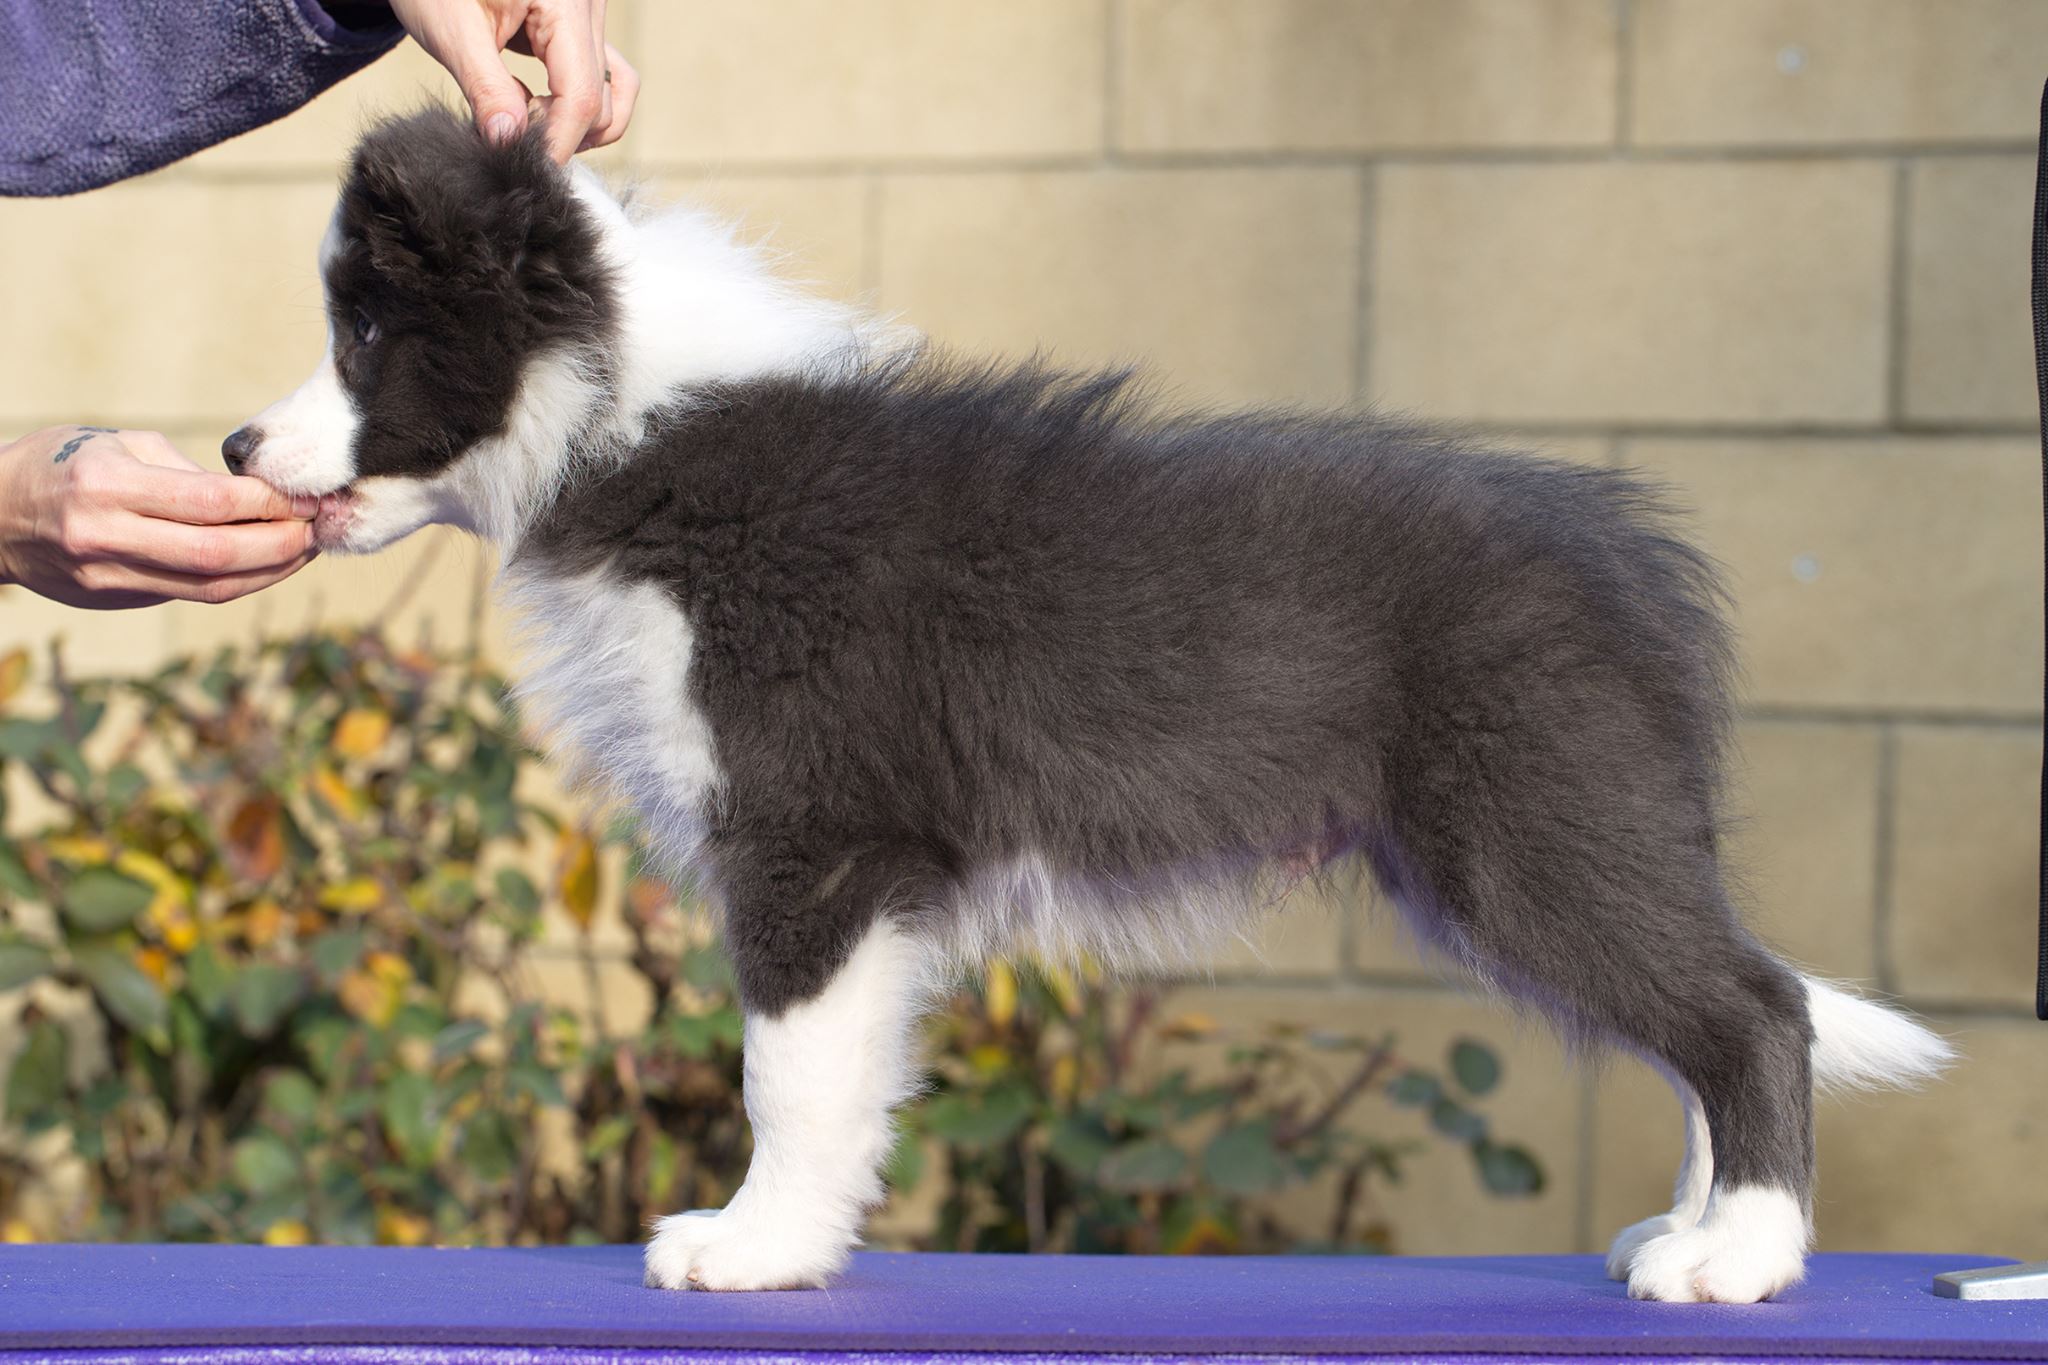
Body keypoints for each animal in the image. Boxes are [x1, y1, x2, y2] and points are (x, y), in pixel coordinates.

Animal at [224, 114, 1949, 1301]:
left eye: (365, 336)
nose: (236, 445)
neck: (634, 427)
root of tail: (1633, 566)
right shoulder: (858, 864)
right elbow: (845, 1073)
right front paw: (803, 1241)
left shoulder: (816, 830)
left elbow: (787, 1066)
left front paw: (749, 1249)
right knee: (1706, 1010)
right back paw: (1701, 1224)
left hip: (1531, 817)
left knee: (1751, 1008)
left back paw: (1743, 1256)